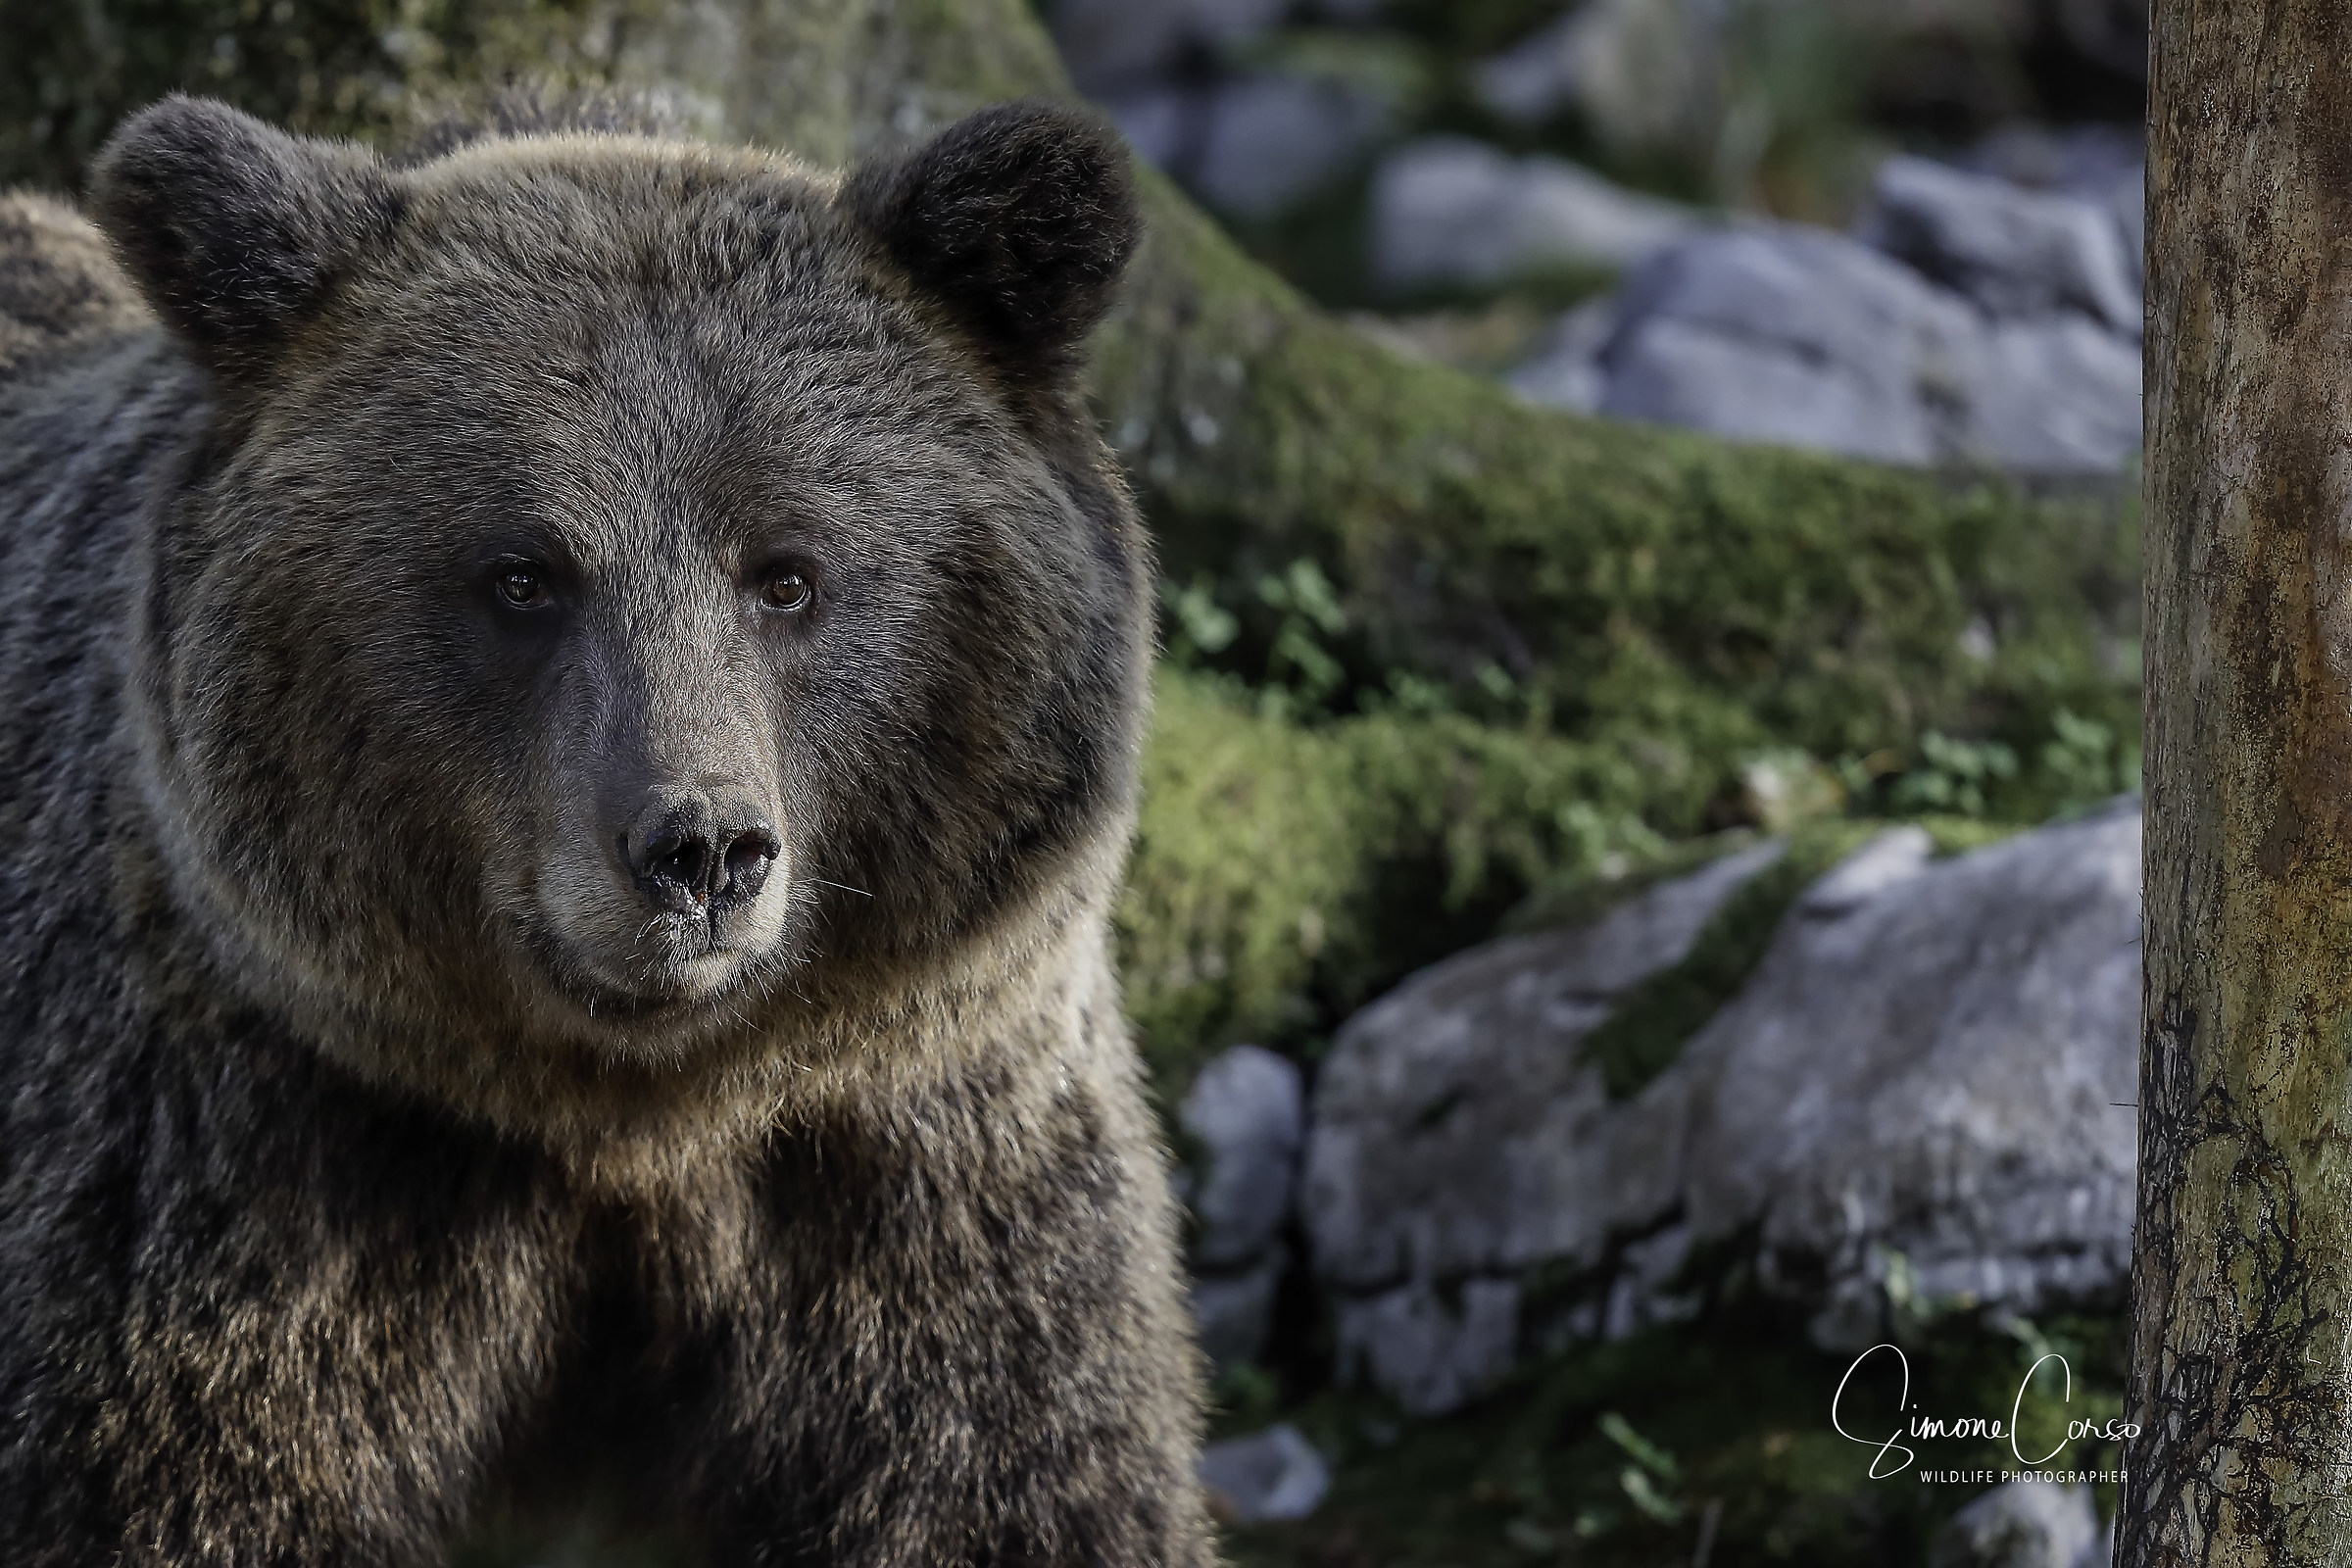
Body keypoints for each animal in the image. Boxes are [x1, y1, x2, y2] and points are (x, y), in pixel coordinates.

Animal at [0, 92, 1215, 1566]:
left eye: (789, 573)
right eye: (523, 574)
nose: (700, 850)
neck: (630, 1122)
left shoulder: (918, 1187)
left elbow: (1018, 1479)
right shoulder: (233, 1167)